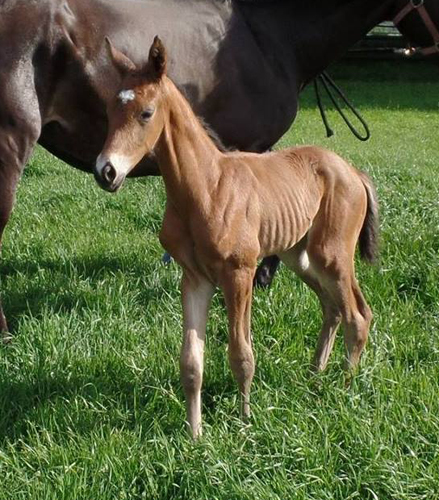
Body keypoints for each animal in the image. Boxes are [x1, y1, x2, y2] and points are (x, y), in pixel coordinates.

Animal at [95, 38, 378, 438]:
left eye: (146, 113)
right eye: (108, 109)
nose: (105, 171)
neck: (204, 188)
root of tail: (353, 172)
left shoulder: (240, 272)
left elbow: (241, 354)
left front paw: (245, 424)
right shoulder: (194, 278)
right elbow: (191, 362)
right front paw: (194, 435)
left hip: (332, 254)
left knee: (358, 316)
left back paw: (343, 388)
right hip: (299, 256)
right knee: (332, 307)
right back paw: (314, 377)